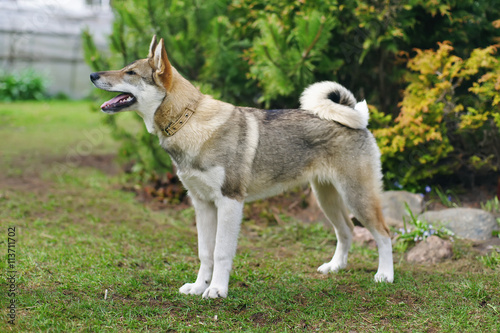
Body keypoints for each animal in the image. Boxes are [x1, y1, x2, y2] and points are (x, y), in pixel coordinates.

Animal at [91, 35, 394, 296]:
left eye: (130, 72)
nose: (93, 75)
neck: (188, 120)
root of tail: (355, 117)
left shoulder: (230, 202)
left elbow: (221, 252)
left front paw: (216, 290)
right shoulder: (202, 205)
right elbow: (205, 252)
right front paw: (199, 287)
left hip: (358, 198)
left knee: (384, 234)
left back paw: (385, 275)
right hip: (327, 198)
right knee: (346, 231)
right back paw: (335, 267)